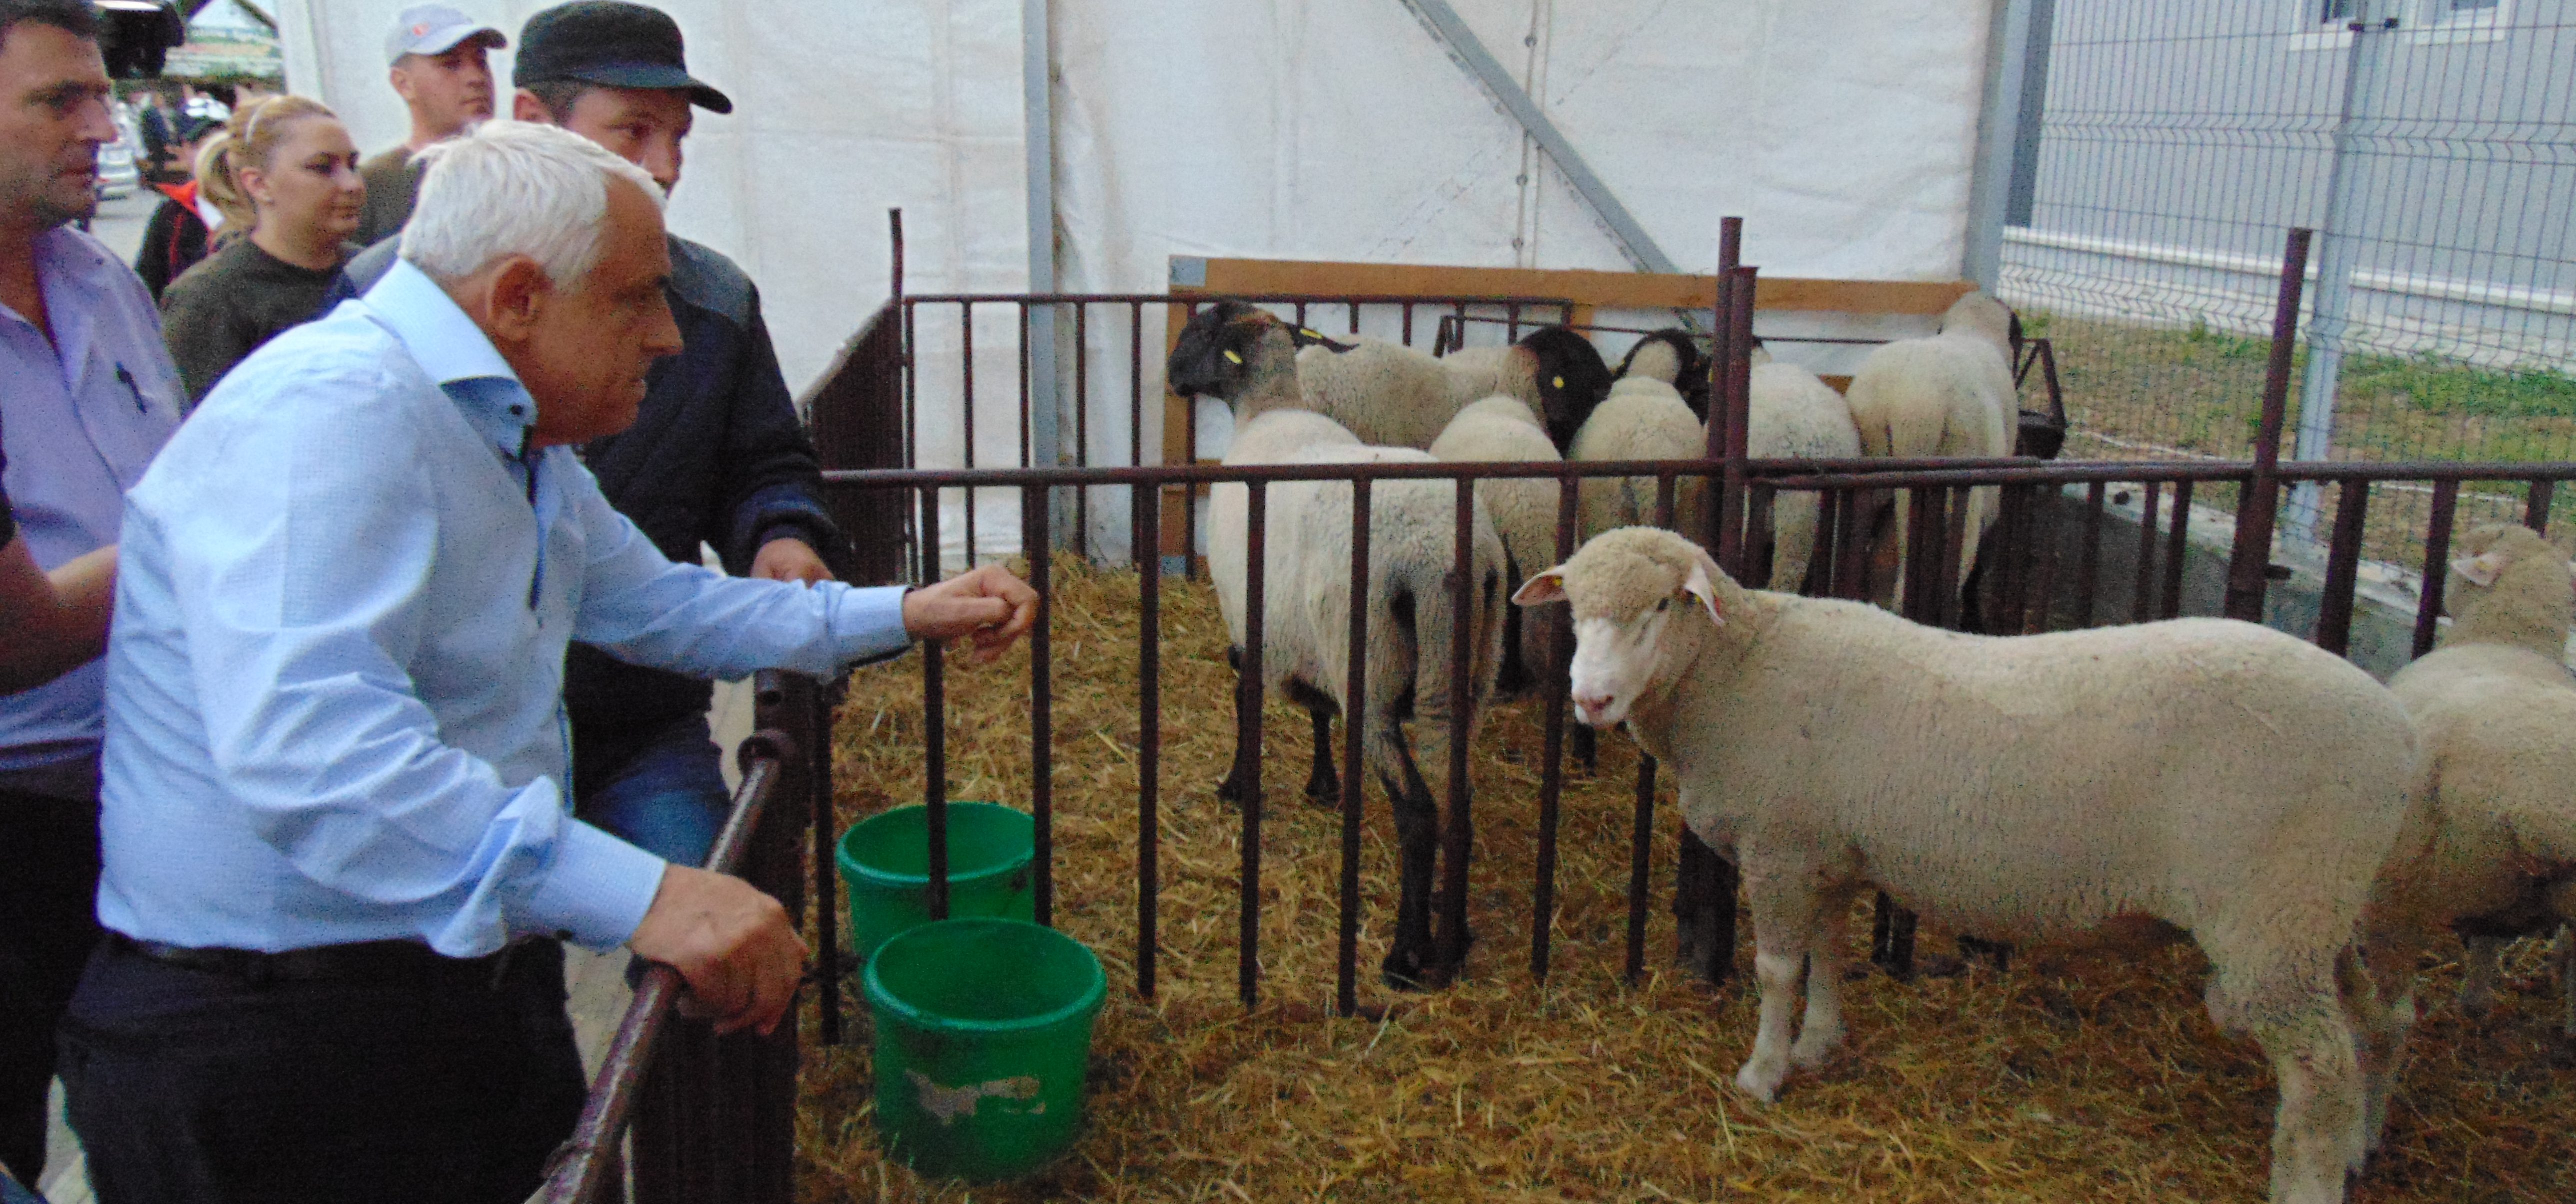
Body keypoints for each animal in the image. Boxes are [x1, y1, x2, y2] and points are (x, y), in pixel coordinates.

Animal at [1170, 302, 1504, 990]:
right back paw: (1454, 942)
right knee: (1457, 802)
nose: (1170, 375)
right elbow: (1318, 710)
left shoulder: (1248, 620)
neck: (1270, 407)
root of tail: (1441, 560)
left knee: (1418, 812)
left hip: (1372, 671)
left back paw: (1405, 956)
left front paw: (1236, 784)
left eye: (1201, 330)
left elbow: (1245, 698)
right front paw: (1325, 782)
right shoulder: (1303, 635)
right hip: (1469, 673)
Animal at [1504, 531, 2411, 1204]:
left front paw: (1763, 1074)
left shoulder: (1781, 847)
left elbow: (1777, 972)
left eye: (1662, 605)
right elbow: (1829, 956)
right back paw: (2364, 1142)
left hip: (2273, 917)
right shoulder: (1827, 851)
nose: (1589, 700)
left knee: (2320, 1071)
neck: (1741, 670)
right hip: (2320, 909)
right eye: (1576, 612)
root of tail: (2393, 728)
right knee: (2377, 1019)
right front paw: (1821, 1043)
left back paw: (2313, 1177)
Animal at [2360, 526, 2576, 1160]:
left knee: (2389, 1021)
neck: (2506, 638)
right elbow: (2488, 939)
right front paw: (2477, 999)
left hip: (2396, 889)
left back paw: (2365, 1136)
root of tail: (2536, 802)